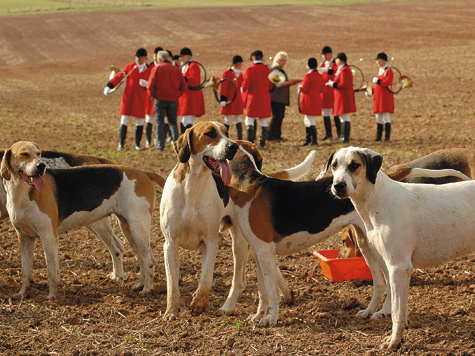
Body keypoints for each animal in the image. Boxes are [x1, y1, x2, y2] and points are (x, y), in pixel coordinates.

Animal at [0, 149, 127, 282]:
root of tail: (99, 160)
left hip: (98, 221)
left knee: (116, 246)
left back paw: (118, 277)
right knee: (117, 246)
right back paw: (117, 276)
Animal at [326, 146, 474, 350]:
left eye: (354, 165)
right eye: (334, 165)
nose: (338, 186)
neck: (378, 198)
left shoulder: (399, 267)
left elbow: (396, 311)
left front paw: (394, 341)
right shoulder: (389, 263)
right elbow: (396, 303)